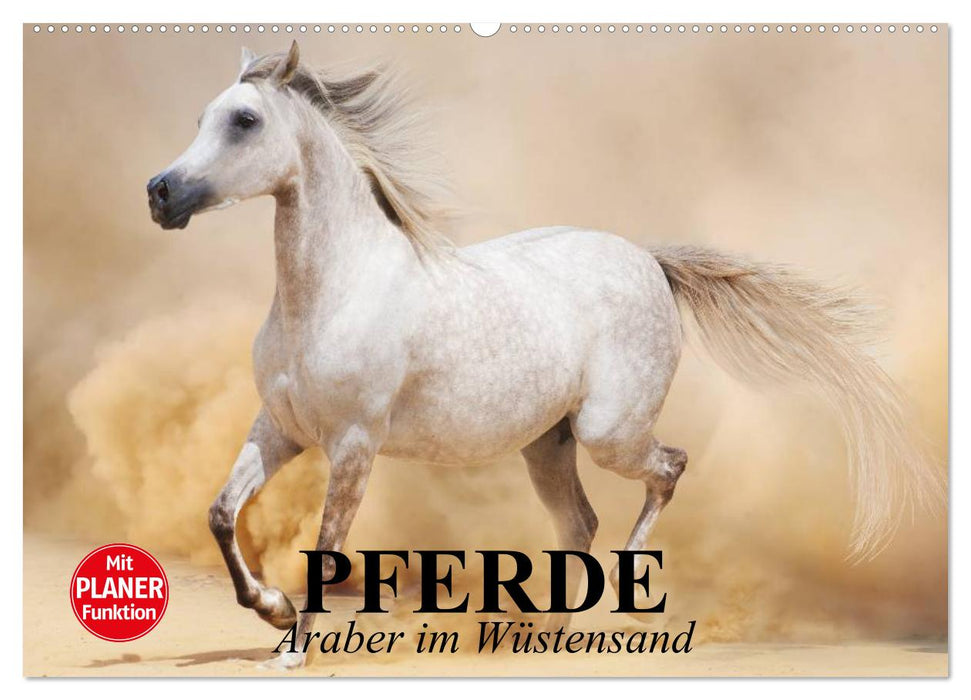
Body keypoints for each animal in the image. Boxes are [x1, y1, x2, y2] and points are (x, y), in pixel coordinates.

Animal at [147, 42, 941, 669]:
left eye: (245, 121)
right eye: (201, 118)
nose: (160, 193)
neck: (335, 290)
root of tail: (649, 261)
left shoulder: (352, 444)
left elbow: (329, 542)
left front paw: (294, 649)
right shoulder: (280, 430)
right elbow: (221, 515)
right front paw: (274, 610)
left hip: (607, 432)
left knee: (667, 470)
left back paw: (621, 593)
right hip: (546, 444)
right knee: (579, 522)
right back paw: (549, 633)